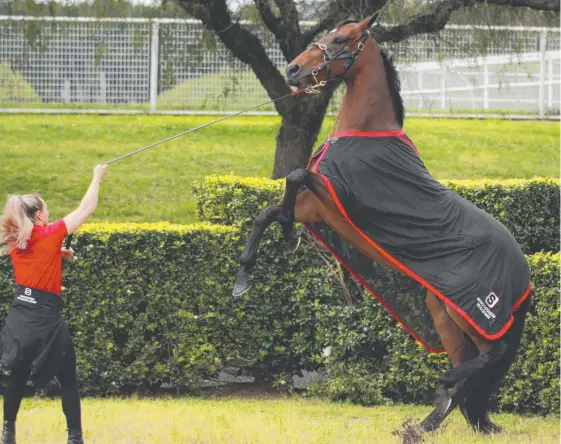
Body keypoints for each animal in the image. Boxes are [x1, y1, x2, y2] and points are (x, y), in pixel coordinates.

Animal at [230, 13, 532, 440]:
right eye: (328, 34)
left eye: (340, 39)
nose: (293, 69)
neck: (365, 133)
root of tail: (524, 272)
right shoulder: (320, 207)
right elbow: (269, 210)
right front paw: (245, 277)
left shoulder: (334, 196)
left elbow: (295, 174)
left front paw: (284, 231)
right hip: (443, 310)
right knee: (468, 370)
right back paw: (425, 423)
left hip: (471, 312)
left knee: (492, 354)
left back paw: (439, 392)